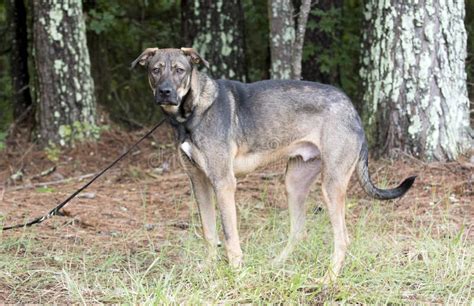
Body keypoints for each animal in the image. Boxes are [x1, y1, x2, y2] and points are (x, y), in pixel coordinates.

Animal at [131, 46, 414, 284]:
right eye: (155, 70)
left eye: (180, 70)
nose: (165, 92)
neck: (192, 111)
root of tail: (351, 109)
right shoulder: (199, 182)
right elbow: (209, 233)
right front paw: (208, 269)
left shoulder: (224, 183)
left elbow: (229, 236)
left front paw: (236, 273)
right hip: (294, 183)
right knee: (299, 231)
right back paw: (277, 264)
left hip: (332, 186)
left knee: (342, 238)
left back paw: (328, 279)